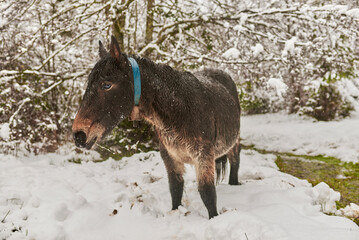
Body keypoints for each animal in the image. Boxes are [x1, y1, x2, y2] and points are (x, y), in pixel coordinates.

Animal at [72, 36, 242, 218]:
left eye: (106, 85)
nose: (78, 135)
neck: (180, 110)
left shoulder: (203, 156)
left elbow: (207, 194)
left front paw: (214, 218)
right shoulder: (170, 158)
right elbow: (175, 189)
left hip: (234, 143)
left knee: (235, 162)